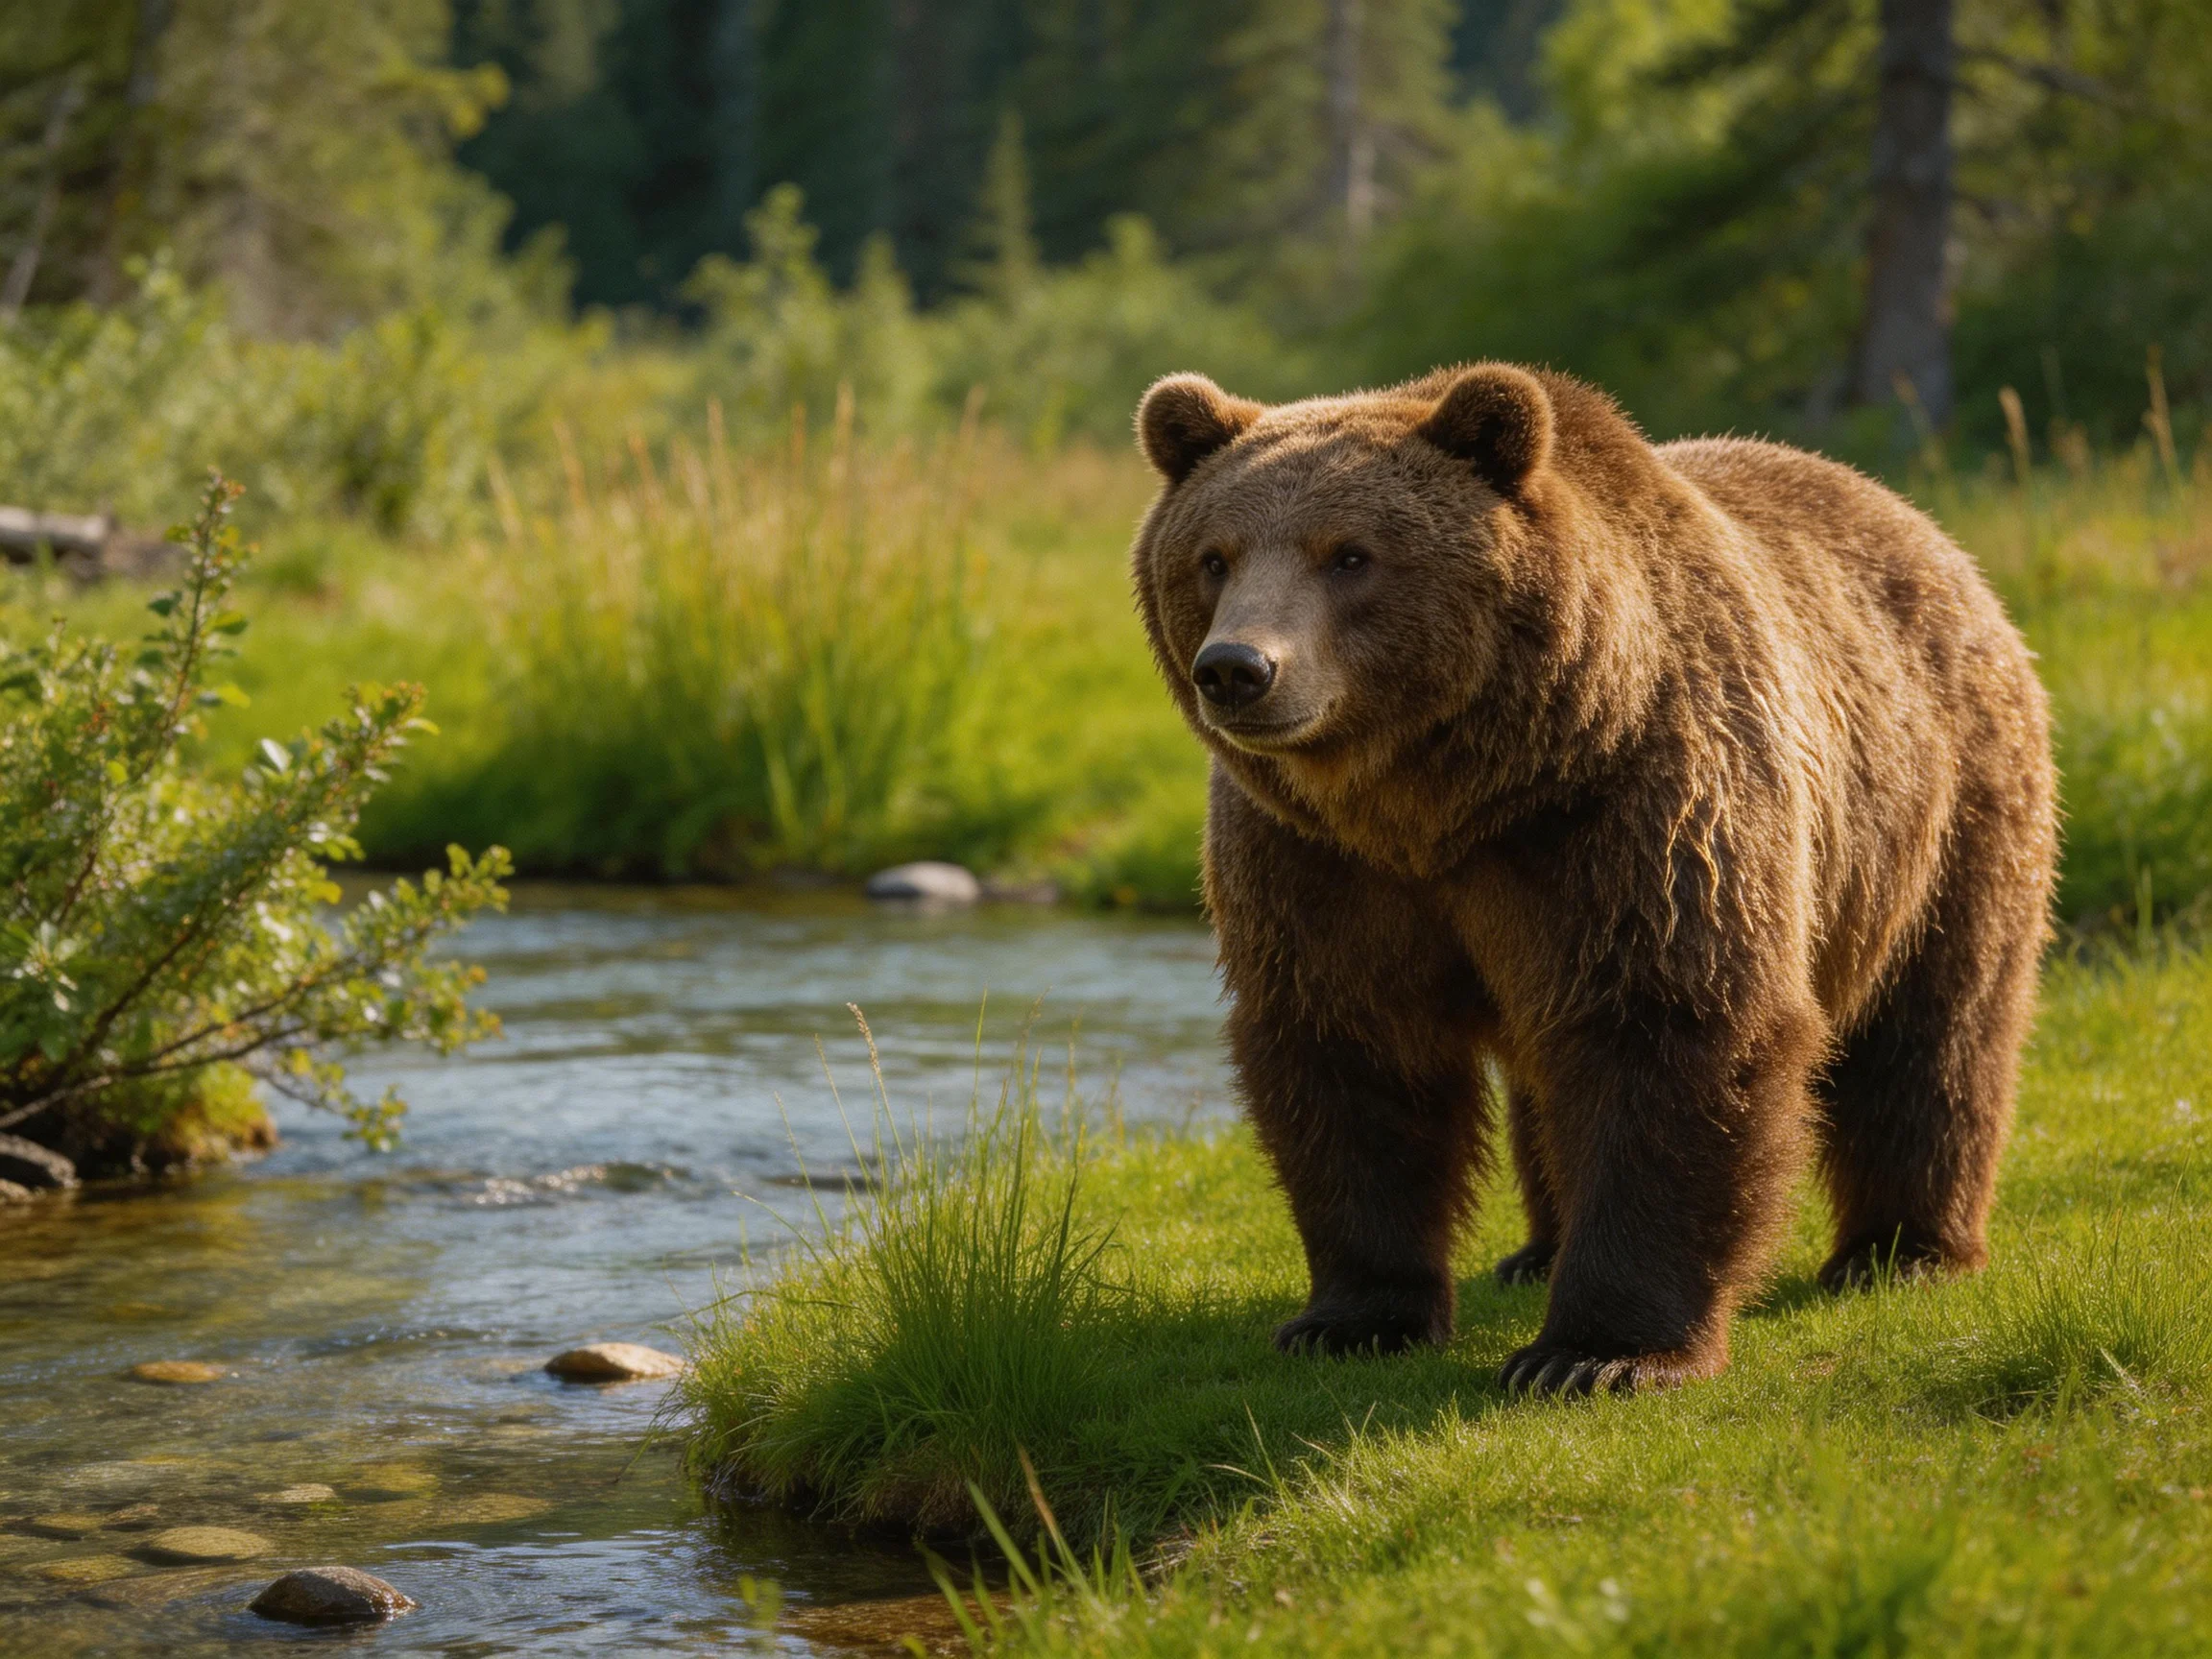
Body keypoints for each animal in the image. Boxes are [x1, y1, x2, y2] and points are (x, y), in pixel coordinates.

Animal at [1128, 363, 2057, 1395]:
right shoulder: (1315, 861)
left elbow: (1665, 1029)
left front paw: (1597, 1354)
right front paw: (1351, 1318)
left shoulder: (1634, 810)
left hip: (1944, 808)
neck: (1440, 804)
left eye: (1350, 555)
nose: (1237, 668)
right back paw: (1538, 1250)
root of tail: (1924, 531)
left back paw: (1903, 1250)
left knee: (1935, 1030)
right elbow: (1353, 1053)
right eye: (1214, 557)